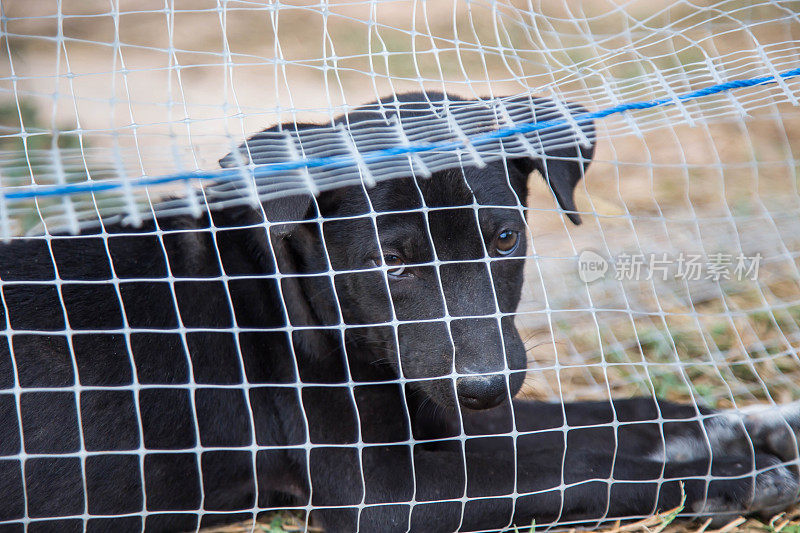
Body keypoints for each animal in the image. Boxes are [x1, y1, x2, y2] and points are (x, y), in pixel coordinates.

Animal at [0, 92, 796, 532]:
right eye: (391, 260)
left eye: (505, 238)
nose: (484, 386)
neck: (297, 290)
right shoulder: (389, 490)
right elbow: (577, 464)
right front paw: (736, 475)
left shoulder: (444, 400)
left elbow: (605, 417)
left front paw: (750, 424)